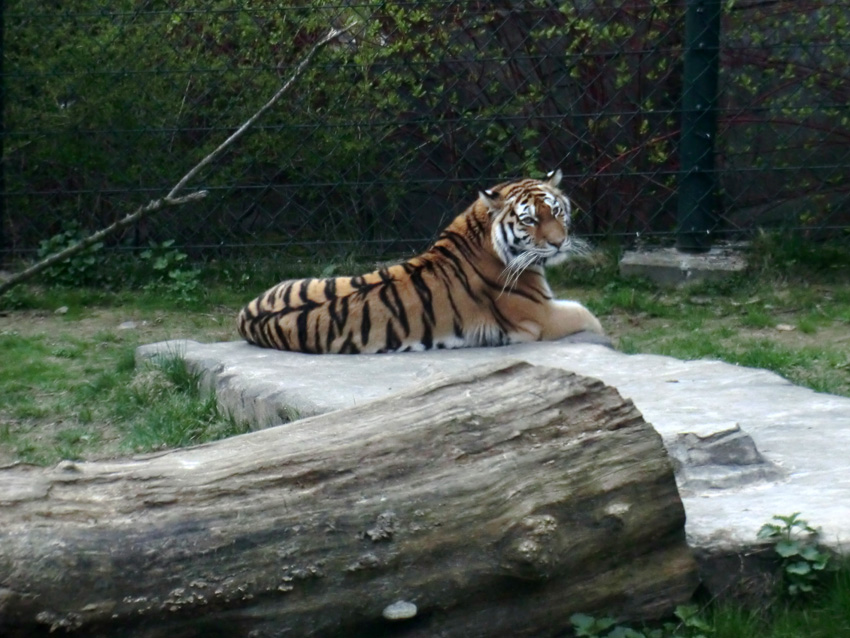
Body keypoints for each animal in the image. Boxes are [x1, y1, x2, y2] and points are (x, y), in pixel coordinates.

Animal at [235, 170, 600, 356]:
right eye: (529, 220)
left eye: (556, 211)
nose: (559, 242)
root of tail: (243, 315)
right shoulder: (543, 316)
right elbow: (591, 316)